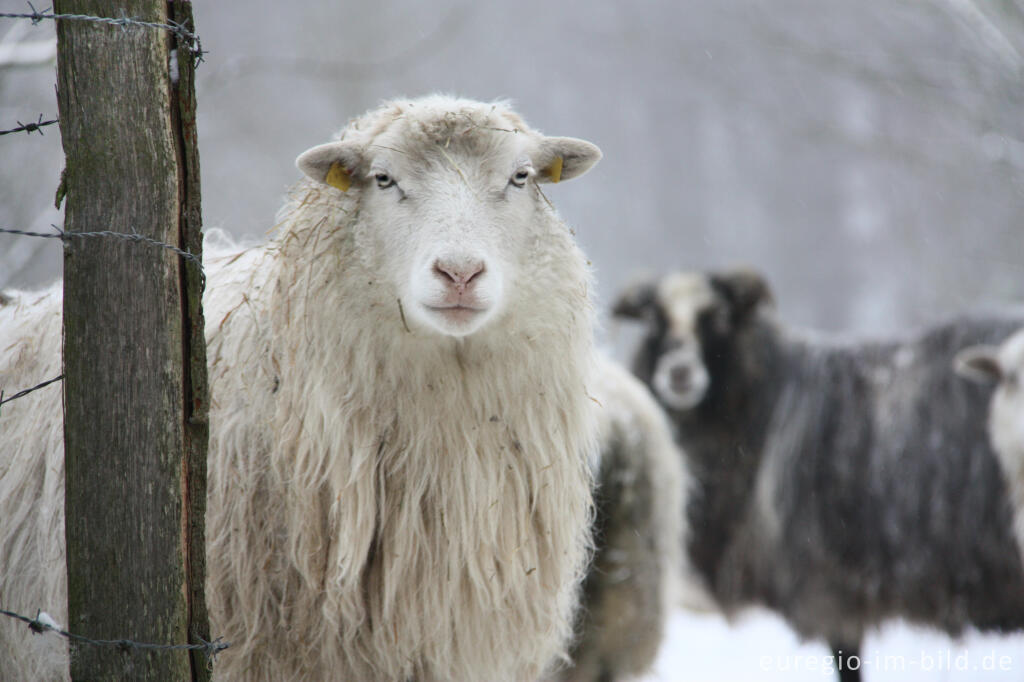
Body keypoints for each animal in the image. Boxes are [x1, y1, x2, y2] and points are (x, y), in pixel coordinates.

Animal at [610, 268, 1024, 675]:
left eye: (721, 316)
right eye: (653, 319)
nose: (679, 372)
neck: (767, 409)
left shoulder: (828, 589)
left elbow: (847, 664)